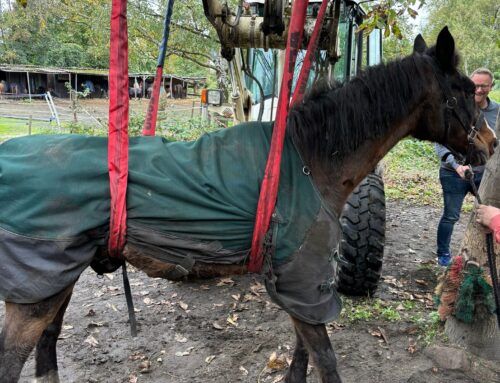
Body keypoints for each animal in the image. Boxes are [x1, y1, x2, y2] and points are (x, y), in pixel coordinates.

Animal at [0, 27, 494, 383]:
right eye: (463, 91)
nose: (489, 144)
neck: (309, 160)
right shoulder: (302, 279)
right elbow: (325, 360)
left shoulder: (304, 286)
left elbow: (302, 357)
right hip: (35, 294)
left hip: (54, 282)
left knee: (48, 349)